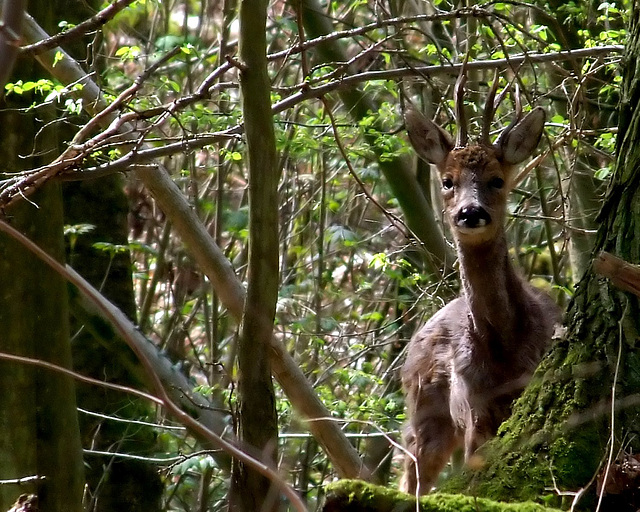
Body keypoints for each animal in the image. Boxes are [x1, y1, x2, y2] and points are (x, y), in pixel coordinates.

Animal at [400, 74, 560, 494]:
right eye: (447, 181)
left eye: (497, 180)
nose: (471, 213)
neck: (504, 348)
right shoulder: (474, 406)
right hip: (424, 407)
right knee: (411, 474)